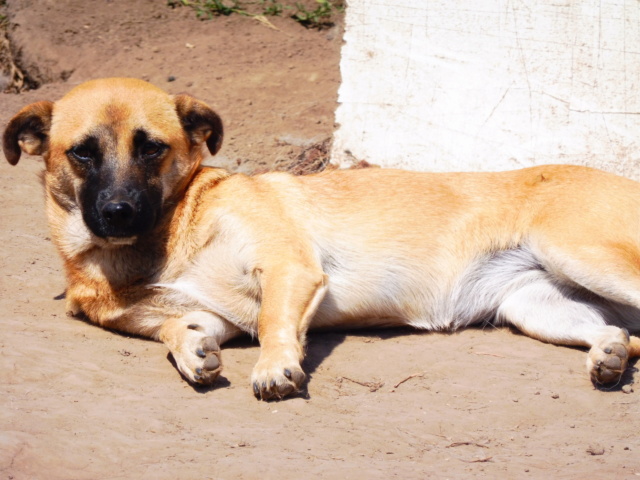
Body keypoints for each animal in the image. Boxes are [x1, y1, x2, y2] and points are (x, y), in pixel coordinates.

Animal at [5, 79, 640, 402]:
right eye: (83, 153)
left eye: (152, 148)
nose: (118, 212)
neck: (159, 240)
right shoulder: (211, 316)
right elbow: (176, 329)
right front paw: (192, 352)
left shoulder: (291, 268)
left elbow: (274, 323)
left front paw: (275, 368)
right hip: (535, 305)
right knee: (618, 335)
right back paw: (608, 356)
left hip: (580, 254)